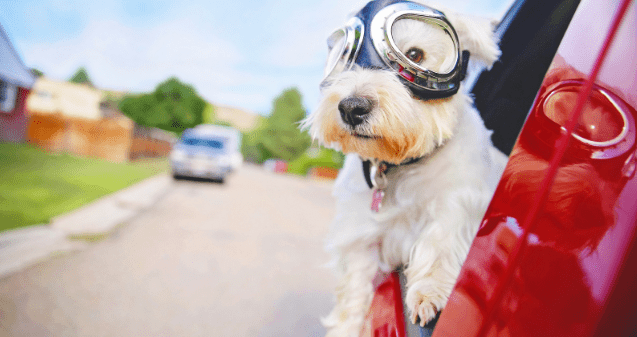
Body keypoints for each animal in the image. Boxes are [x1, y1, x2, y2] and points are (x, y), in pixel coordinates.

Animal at [302, 1, 506, 334]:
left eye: (414, 55)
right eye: (345, 58)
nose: (351, 108)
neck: (401, 163)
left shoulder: (460, 203)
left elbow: (441, 242)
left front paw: (429, 293)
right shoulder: (362, 234)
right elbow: (354, 289)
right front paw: (347, 327)